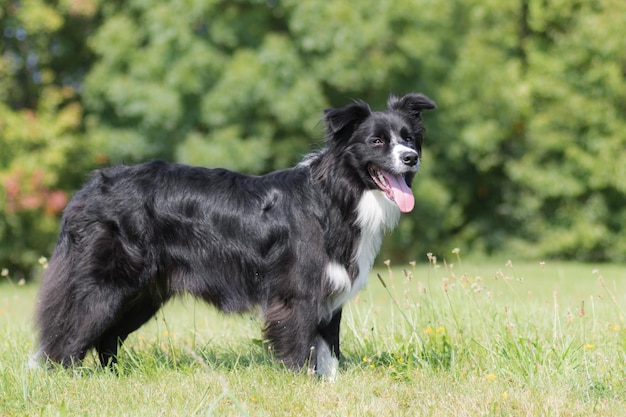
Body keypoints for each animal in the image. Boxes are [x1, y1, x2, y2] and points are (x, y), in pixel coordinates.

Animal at [33, 92, 434, 378]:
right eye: (377, 141)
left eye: (408, 138)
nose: (411, 157)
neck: (336, 196)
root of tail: (86, 191)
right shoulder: (298, 292)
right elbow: (301, 344)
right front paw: (305, 384)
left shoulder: (330, 290)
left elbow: (328, 347)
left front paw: (331, 385)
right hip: (105, 285)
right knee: (69, 333)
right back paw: (62, 379)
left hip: (143, 294)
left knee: (107, 339)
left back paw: (112, 379)